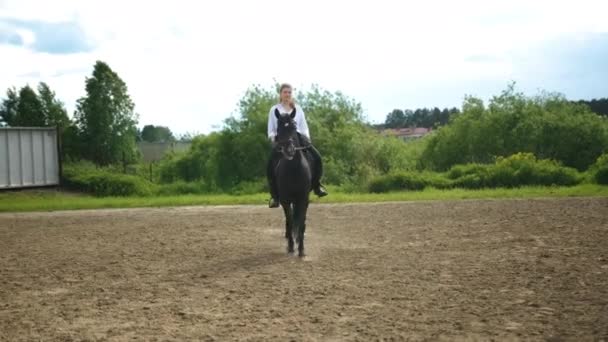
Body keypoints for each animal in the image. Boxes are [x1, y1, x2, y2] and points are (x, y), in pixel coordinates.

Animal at [274, 108, 312, 255]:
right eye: (278, 128)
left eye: (294, 127)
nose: (289, 150)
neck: (294, 169)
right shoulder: (285, 199)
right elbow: (290, 220)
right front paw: (291, 246)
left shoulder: (303, 198)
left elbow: (301, 221)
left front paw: (301, 250)